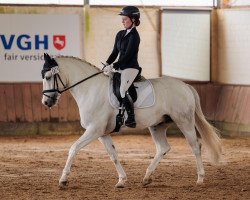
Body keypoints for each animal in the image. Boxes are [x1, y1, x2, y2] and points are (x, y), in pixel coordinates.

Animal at [41, 53, 223, 189]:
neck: (90, 89)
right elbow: (113, 155)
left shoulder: (94, 130)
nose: (46, 102)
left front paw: (63, 180)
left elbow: (73, 148)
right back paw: (146, 178)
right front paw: (121, 180)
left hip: (184, 121)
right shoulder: (102, 133)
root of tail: (186, 86)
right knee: (163, 148)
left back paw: (200, 179)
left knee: (195, 146)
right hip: (157, 125)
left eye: (49, 76)